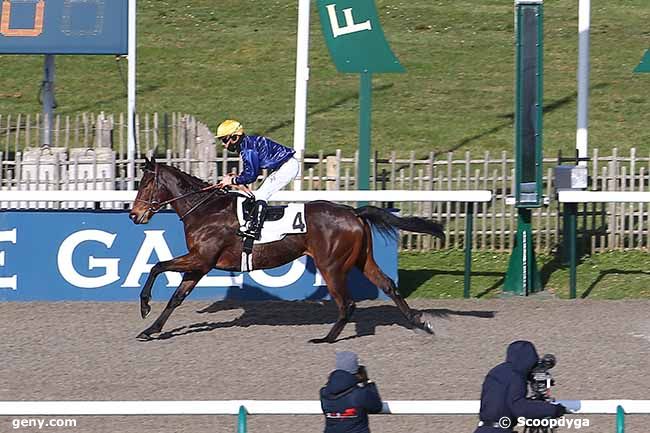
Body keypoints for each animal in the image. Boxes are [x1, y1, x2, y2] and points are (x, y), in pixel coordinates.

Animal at [129, 157, 446, 342]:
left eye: (145, 184)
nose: (134, 214)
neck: (205, 210)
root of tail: (353, 213)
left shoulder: (201, 259)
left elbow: (157, 266)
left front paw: (144, 306)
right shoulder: (199, 264)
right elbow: (176, 298)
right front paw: (150, 330)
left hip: (330, 265)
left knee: (347, 303)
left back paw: (326, 339)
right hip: (362, 260)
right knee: (388, 286)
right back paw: (420, 323)